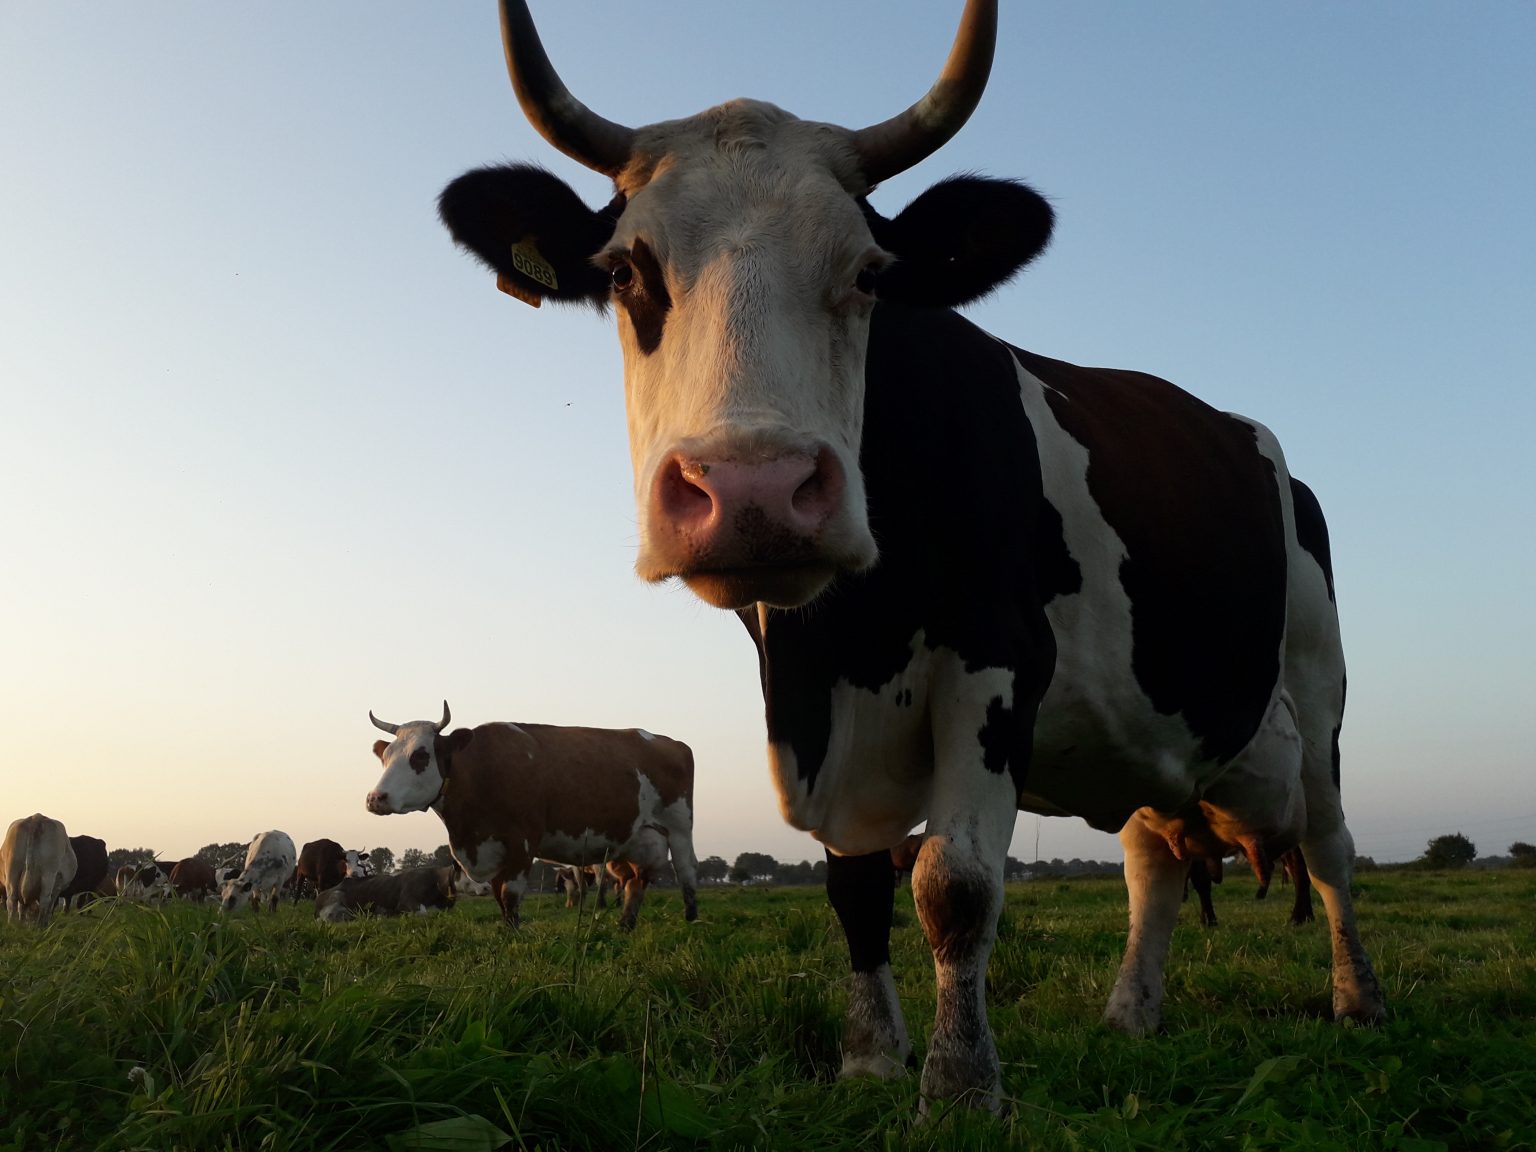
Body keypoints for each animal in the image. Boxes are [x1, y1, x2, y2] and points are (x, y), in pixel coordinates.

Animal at [365, 703, 699, 931]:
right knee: (634, 880)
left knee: (686, 872)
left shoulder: (521, 843)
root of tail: (668, 741)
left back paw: (691, 921)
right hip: (630, 838)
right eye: (386, 756)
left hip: (679, 828)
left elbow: (510, 897)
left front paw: (514, 938)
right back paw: (625, 926)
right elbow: (499, 898)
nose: (375, 798)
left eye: (420, 755)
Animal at [432, 0, 1384, 1109]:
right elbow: (854, 885)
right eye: (626, 271)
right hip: (1156, 738)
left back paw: (1357, 999)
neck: (846, 642)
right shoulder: (818, 719)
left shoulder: (997, 660)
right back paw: (1131, 1013)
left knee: (1331, 848)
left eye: (869, 273)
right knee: (1153, 864)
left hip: (1317, 685)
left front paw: (961, 1082)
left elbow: (954, 884)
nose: (755, 492)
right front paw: (869, 1055)